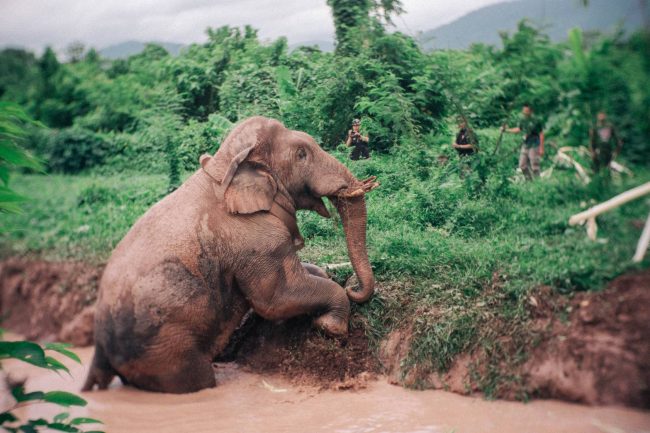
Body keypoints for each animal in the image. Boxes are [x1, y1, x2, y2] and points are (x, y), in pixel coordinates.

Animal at [81, 116, 378, 394]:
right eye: (301, 154)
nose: (353, 287)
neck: (223, 164)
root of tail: (99, 346)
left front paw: (324, 280)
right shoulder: (255, 240)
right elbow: (276, 299)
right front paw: (330, 328)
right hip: (163, 348)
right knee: (197, 379)